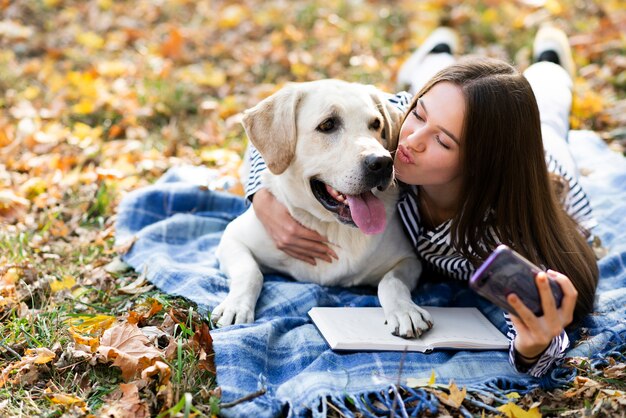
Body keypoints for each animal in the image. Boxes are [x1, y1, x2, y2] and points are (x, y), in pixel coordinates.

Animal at [212, 80, 432, 338]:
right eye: (328, 125)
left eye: (376, 124)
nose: (382, 163)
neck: (331, 225)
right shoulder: (232, 237)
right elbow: (250, 272)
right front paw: (236, 306)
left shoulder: (409, 260)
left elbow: (390, 282)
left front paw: (404, 310)